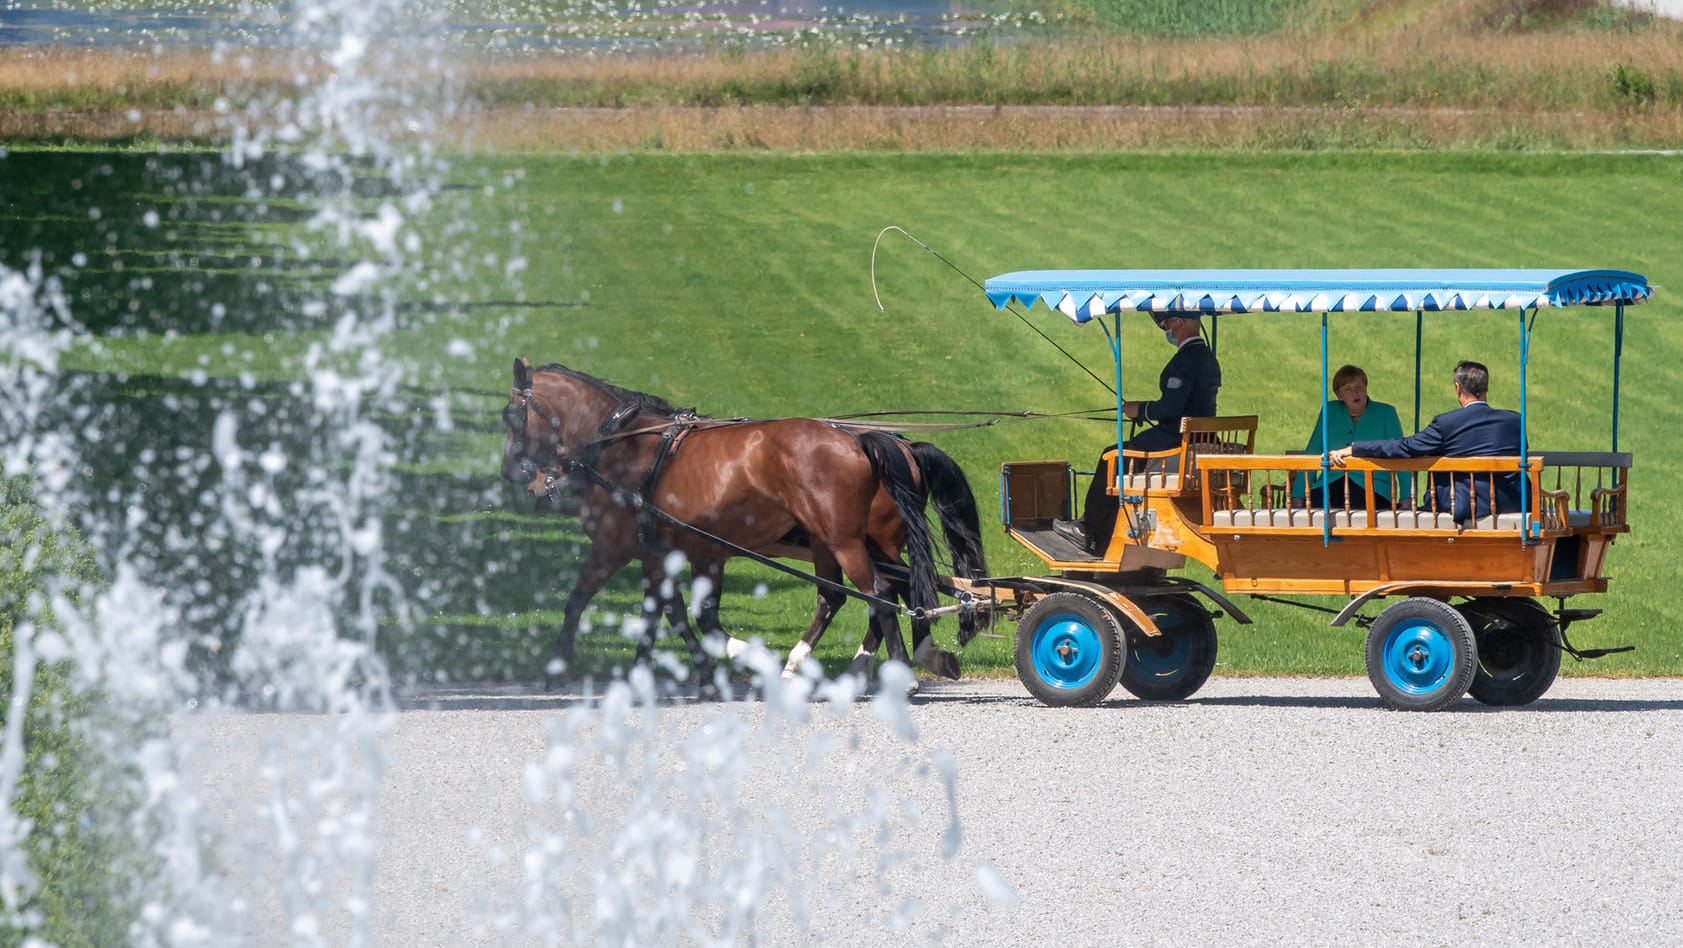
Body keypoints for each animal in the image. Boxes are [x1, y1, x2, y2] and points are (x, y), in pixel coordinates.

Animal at [498, 360, 982, 693]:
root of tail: (864, 440)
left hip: (848, 540)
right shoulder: (671, 552)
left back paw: (897, 670)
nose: (515, 475)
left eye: (511, 416)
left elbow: (581, 600)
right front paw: (667, 673)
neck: (625, 446)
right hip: (840, 542)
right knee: (847, 596)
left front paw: (559, 668)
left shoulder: (615, 545)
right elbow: (670, 614)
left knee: (879, 593)